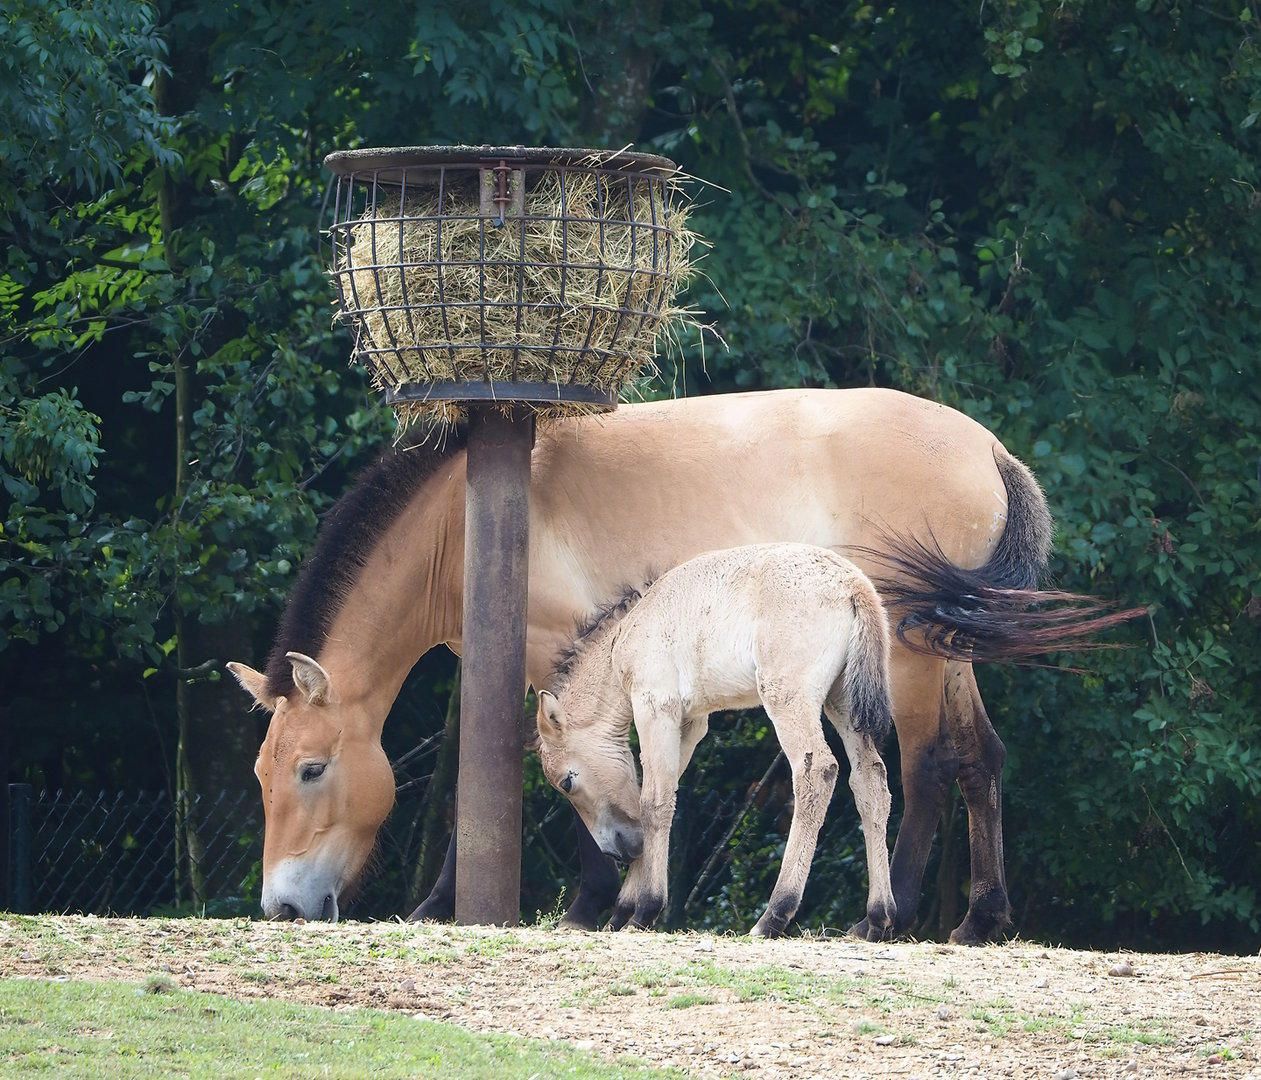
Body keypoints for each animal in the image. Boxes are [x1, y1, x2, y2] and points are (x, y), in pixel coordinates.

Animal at [535, 543, 897, 939]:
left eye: (567, 782)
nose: (619, 851)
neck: (626, 636)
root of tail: (854, 586)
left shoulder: (655, 707)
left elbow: (653, 802)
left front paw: (644, 911)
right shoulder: (690, 724)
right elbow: (660, 796)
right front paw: (622, 914)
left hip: (788, 698)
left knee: (817, 773)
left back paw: (773, 915)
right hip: (842, 703)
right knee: (871, 782)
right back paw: (876, 918)